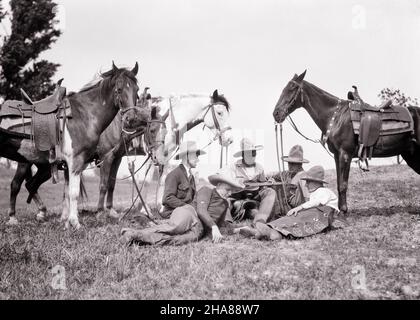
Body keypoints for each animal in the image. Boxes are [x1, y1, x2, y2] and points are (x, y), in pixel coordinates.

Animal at [270, 70, 420, 215]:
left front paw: (343, 210)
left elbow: (343, 184)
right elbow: (338, 183)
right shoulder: (337, 155)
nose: (276, 113)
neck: (336, 117)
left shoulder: (345, 154)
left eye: (292, 88)